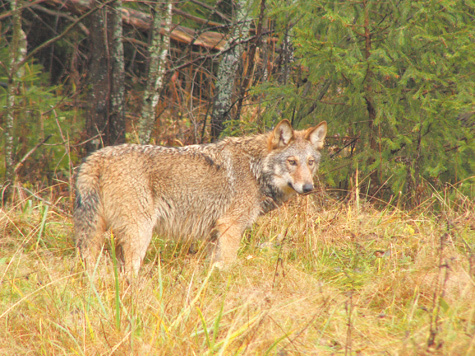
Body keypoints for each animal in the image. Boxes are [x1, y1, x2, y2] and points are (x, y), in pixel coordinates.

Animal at [74, 119, 328, 272]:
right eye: (292, 162)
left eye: (310, 162)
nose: (308, 187)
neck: (255, 169)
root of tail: (97, 157)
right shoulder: (230, 228)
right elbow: (229, 266)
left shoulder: (213, 235)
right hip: (140, 231)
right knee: (129, 271)